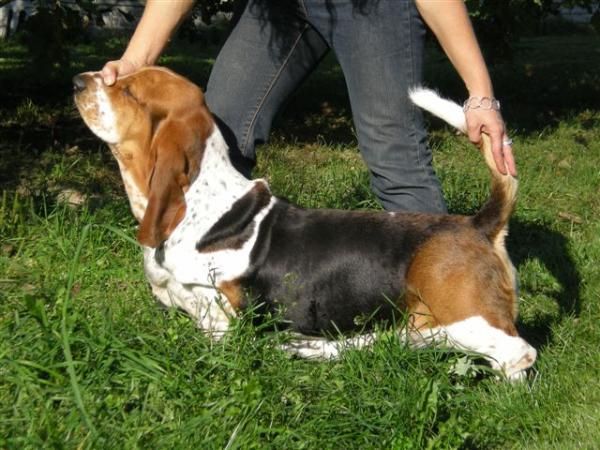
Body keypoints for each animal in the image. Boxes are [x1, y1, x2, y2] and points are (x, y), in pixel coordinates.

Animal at [73, 66, 536, 380]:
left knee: (519, 353)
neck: (203, 204)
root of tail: (477, 224)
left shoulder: (218, 316)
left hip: (467, 319)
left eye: (128, 90)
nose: (79, 81)